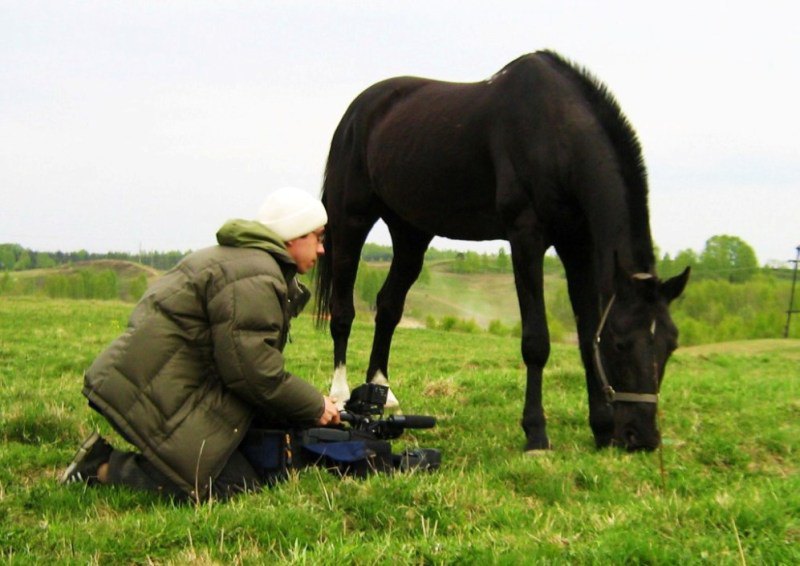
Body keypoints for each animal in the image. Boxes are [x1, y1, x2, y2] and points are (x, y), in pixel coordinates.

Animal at [316, 52, 692, 452]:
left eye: (670, 344)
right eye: (621, 345)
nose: (642, 437)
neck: (555, 132)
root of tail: (358, 112)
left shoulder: (577, 244)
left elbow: (587, 334)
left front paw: (602, 428)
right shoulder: (526, 237)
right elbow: (536, 341)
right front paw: (536, 434)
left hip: (410, 232)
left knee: (388, 307)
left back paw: (381, 392)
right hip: (351, 221)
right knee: (343, 311)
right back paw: (340, 394)